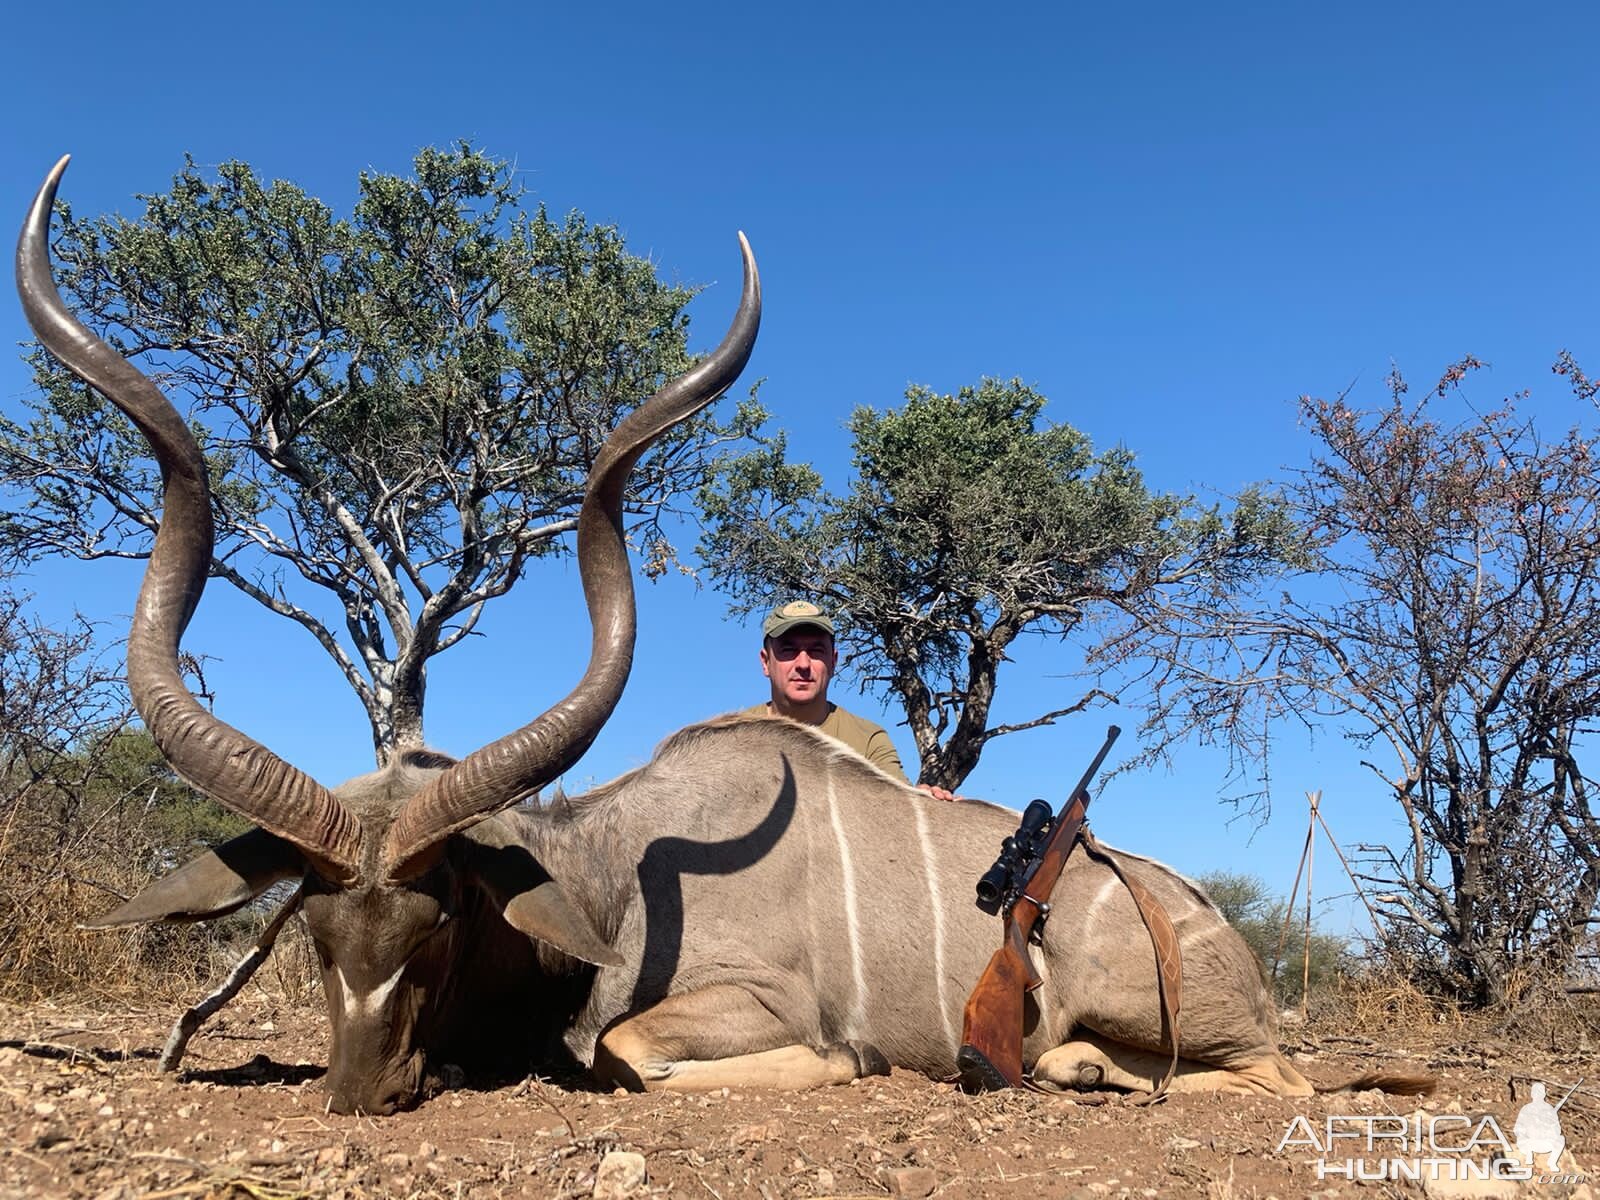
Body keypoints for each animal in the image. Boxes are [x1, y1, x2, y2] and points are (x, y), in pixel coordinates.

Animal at [25, 160, 1401, 1120]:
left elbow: (629, 1054)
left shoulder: (737, 1007)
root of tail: (1224, 937)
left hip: (1169, 1013)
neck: (602, 877)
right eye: (314, 929)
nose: (359, 1089)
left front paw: (850, 1067)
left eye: (442, 914)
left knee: (1270, 1080)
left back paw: (1078, 1071)